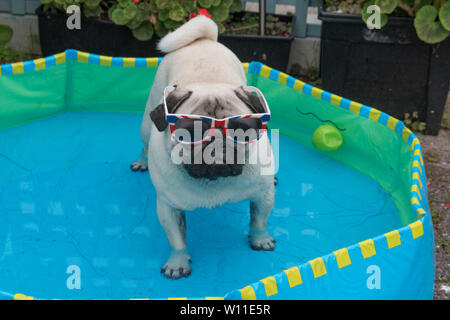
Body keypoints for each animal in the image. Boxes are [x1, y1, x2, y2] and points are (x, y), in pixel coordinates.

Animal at [130, 15, 276, 280]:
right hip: (147, 123)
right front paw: (178, 263)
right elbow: (177, 239)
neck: (213, 181)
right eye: (190, 132)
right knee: (144, 144)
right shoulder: (168, 207)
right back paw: (141, 162)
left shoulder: (263, 195)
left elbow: (259, 220)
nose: (215, 142)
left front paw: (260, 240)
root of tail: (203, 40)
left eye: (241, 130)